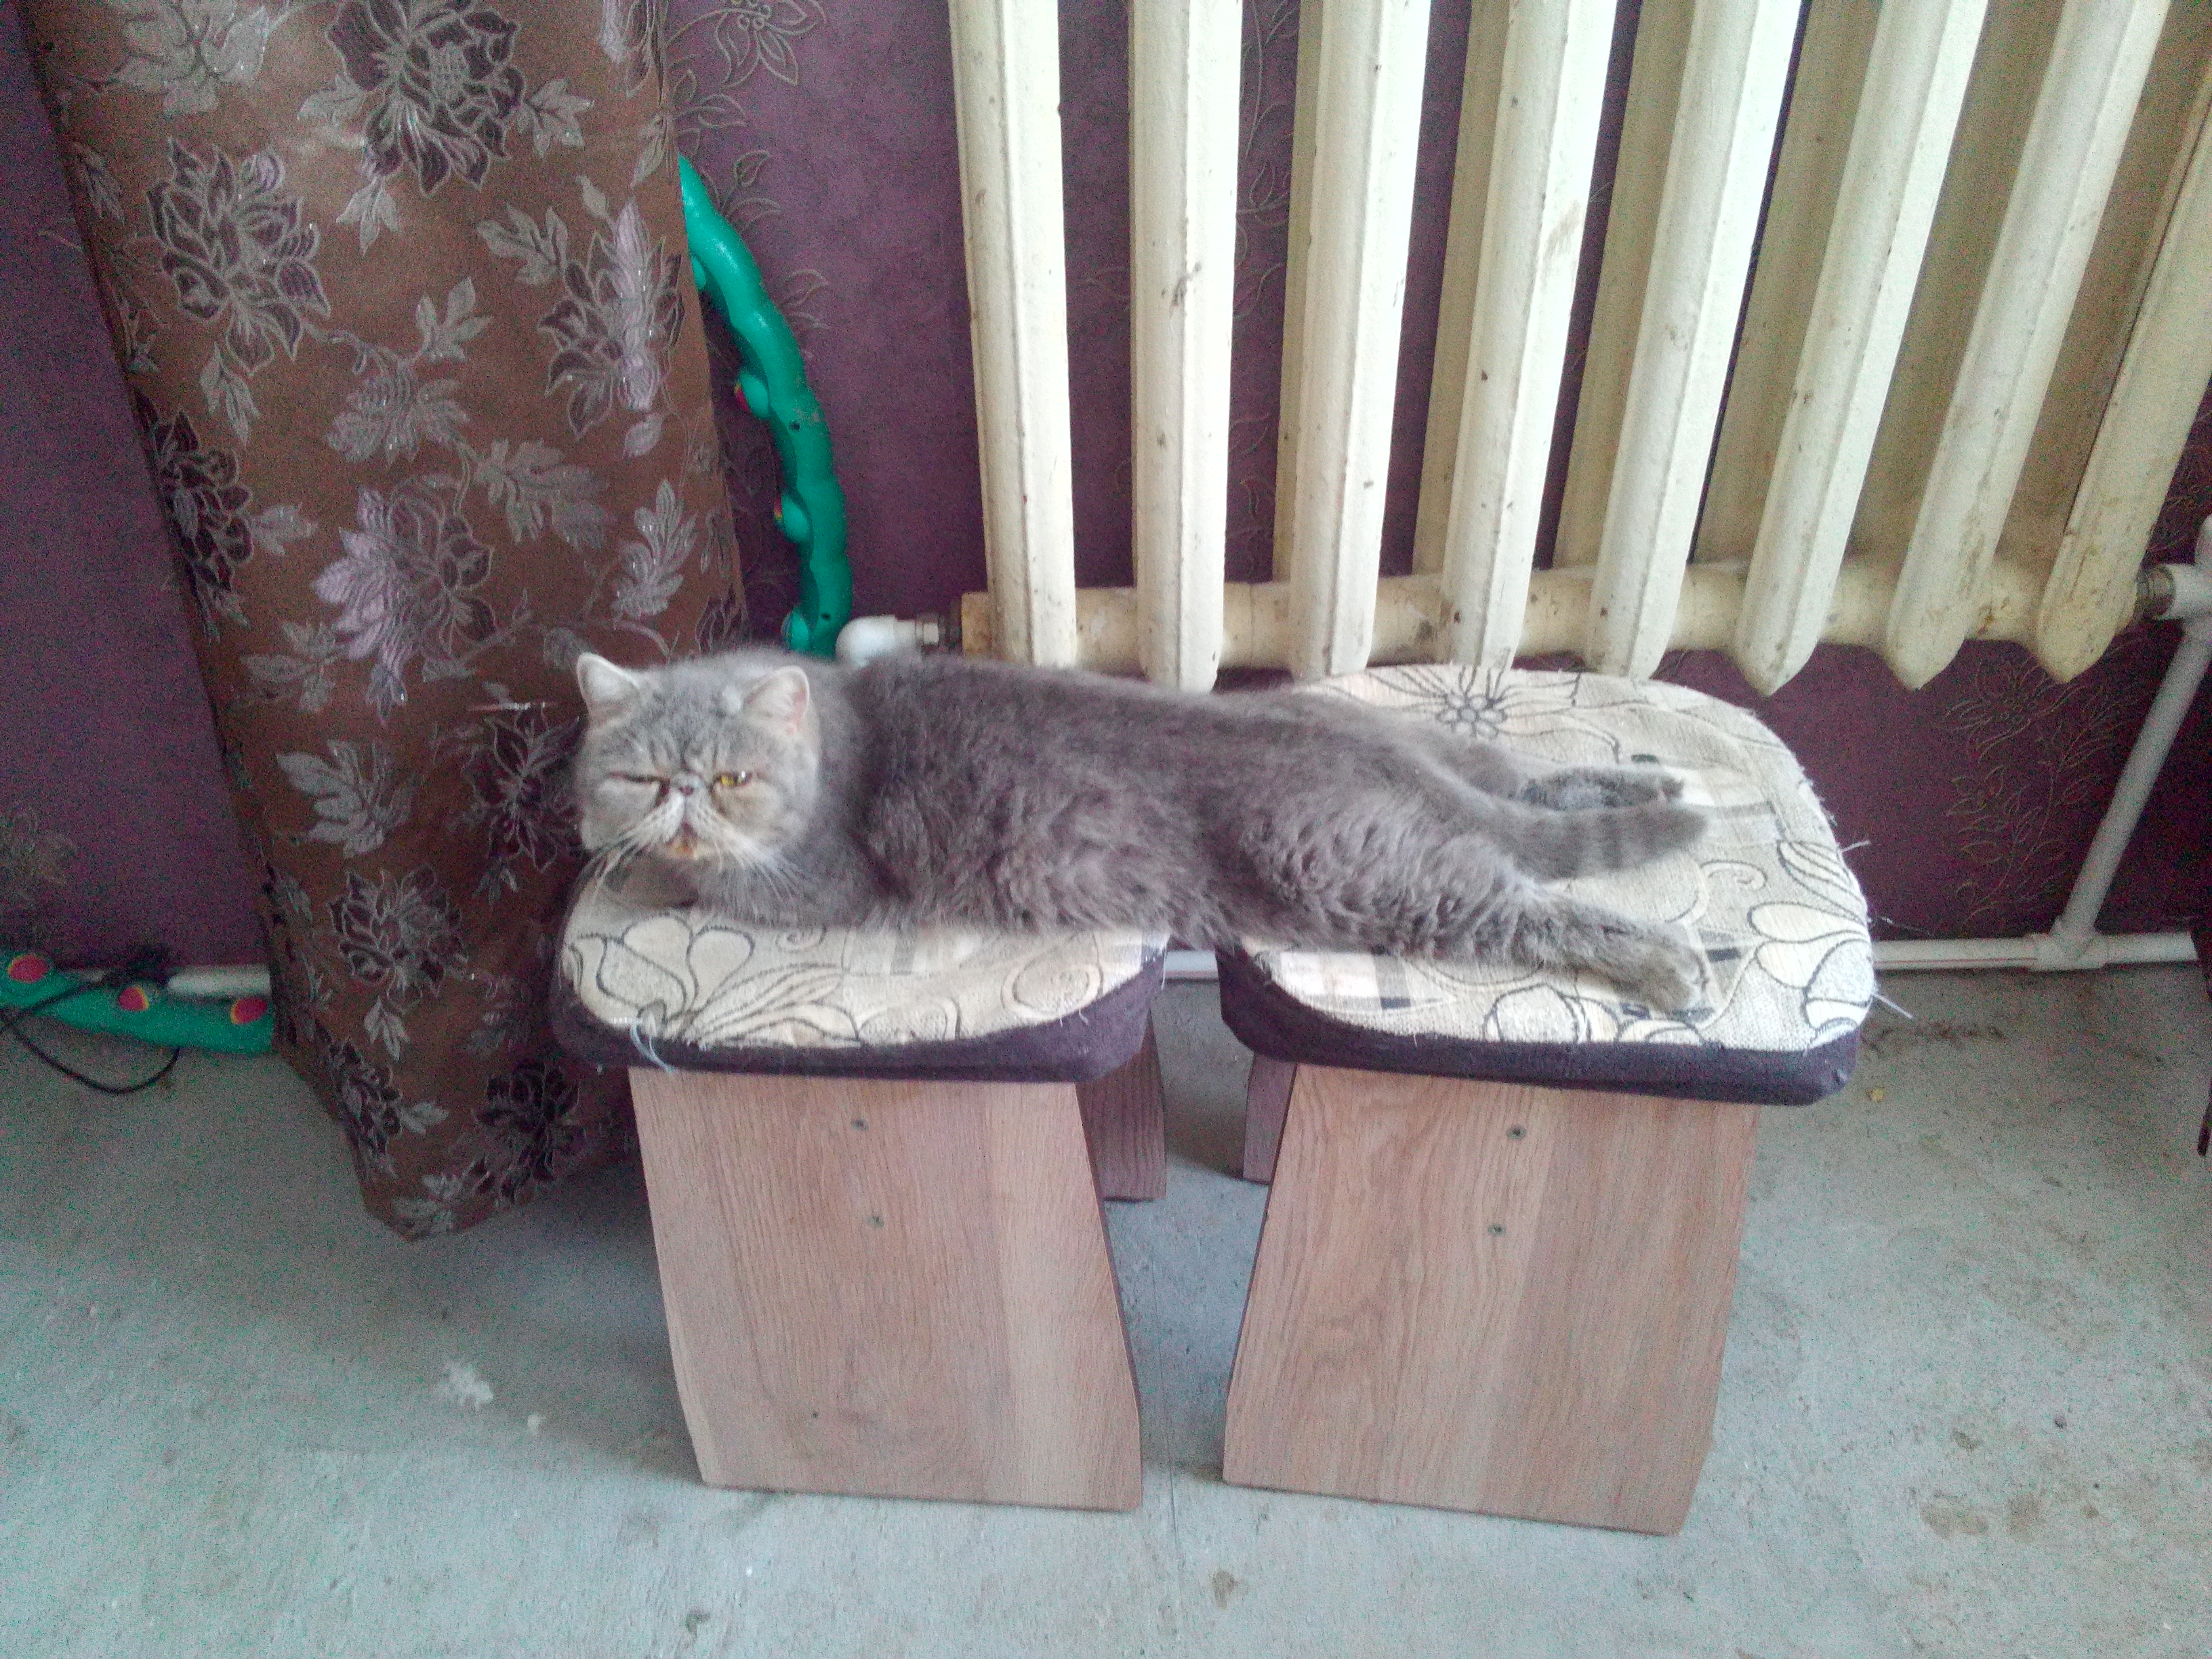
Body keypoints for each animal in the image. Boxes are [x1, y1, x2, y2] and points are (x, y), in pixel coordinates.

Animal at [570, 649, 1710, 1009]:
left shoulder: (818, 882)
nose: (679, 801)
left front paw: (639, 866)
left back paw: (1669, 962)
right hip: (1440, 760)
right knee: (1527, 784)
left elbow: (711, 882)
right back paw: (1644, 782)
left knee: (1531, 903)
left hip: (1359, 871)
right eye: (639, 773)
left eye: (731, 779)